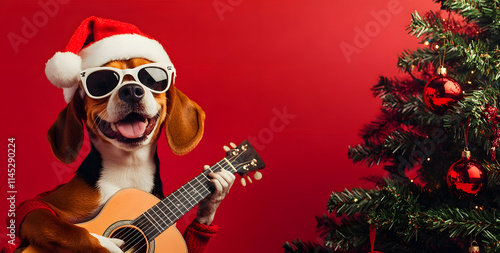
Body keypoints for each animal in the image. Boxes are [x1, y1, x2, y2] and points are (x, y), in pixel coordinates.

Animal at [20, 57, 235, 253]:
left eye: (152, 79)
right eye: (102, 83)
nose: (131, 90)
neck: (130, 166)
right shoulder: (38, 209)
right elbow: (67, 230)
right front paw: (105, 246)